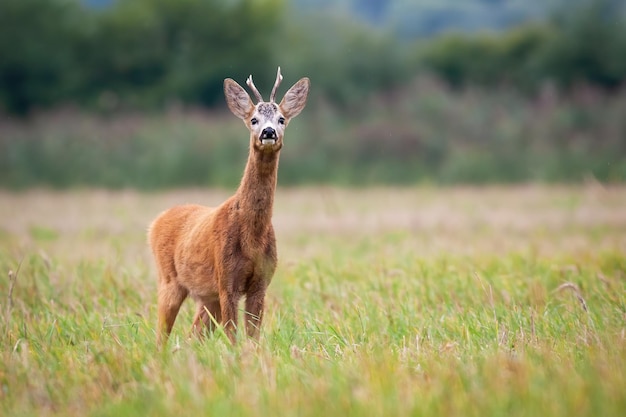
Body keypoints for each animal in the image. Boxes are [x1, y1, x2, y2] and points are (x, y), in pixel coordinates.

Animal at [149, 66, 310, 342]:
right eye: (254, 119)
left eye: (281, 119)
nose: (269, 132)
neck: (252, 238)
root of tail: (156, 221)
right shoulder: (226, 280)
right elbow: (233, 335)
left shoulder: (260, 282)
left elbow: (253, 336)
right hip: (169, 280)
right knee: (162, 335)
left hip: (206, 297)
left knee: (194, 335)